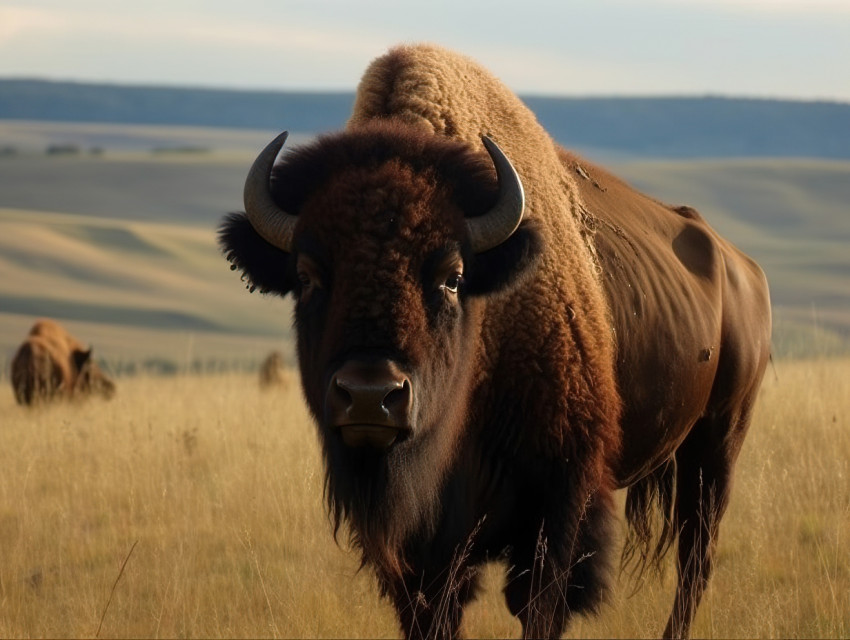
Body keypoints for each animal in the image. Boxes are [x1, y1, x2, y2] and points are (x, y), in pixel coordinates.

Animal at [219, 44, 771, 639]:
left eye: (451, 276)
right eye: (309, 276)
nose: (370, 396)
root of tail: (742, 266)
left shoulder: (559, 501)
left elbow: (540, 606)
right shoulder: (422, 551)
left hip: (717, 444)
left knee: (696, 560)